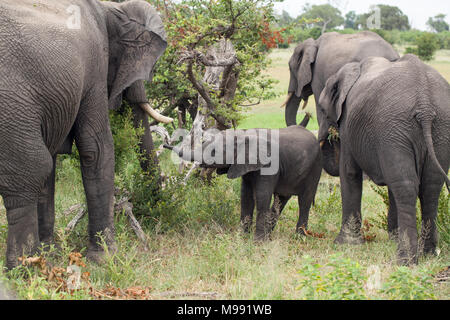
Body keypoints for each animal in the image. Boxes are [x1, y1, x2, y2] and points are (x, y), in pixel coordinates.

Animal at [0, 0, 171, 270]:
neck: (111, 7)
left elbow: (53, 164)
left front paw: (51, 253)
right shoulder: (94, 69)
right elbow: (97, 148)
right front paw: (105, 258)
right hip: (10, 105)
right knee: (30, 170)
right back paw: (25, 268)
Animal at [164, 122, 320, 240]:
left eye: (214, 152)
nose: (165, 143)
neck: (243, 135)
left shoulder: (269, 165)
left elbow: (262, 196)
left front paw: (258, 242)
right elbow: (246, 196)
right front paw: (243, 238)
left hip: (314, 169)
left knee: (304, 201)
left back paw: (299, 237)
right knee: (281, 200)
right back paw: (270, 235)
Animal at [318, 55, 450, 264]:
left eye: (322, 109)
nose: (328, 136)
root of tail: (425, 105)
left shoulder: (348, 124)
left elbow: (349, 173)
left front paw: (344, 244)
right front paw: (392, 238)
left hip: (395, 128)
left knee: (406, 186)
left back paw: (405, 260)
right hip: (438, 129)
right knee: (429, 186)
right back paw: (428, 254)